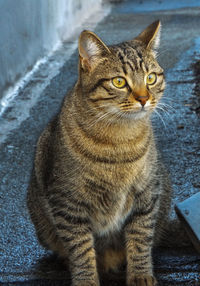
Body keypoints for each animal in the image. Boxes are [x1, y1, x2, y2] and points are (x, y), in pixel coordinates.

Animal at [27, 20, 172, 286]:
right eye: (119, 82)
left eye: (151, 77)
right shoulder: (68, 205)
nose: (144, 98)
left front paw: (141, 274)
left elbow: (140, 239)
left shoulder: (147, 195)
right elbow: (81, 249)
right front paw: (86, 280)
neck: (119, 140)